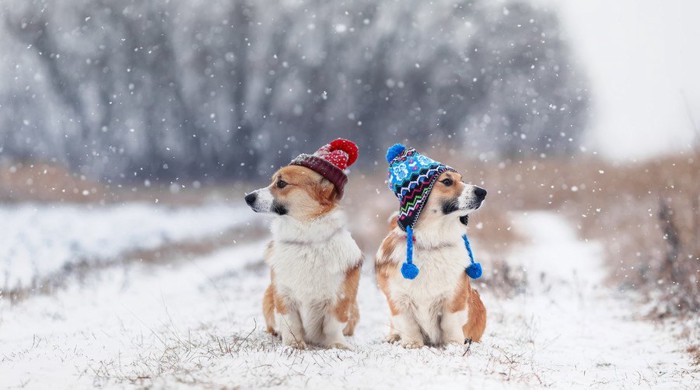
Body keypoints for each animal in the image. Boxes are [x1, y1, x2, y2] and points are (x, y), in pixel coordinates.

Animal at [246, 139, 364, 348]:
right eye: (272, 181)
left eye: (281, 183)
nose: (247, 197)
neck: (305, 239)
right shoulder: (283, 295)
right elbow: (290, 323)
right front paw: (293, 345)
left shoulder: (340, 299)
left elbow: (333, 326)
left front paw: (338, 345)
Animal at [378, 145, 486, 348]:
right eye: (447, 181)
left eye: (462, 180)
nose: (483, 192)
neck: (431, 240)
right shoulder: (398, 299)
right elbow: (407, 323)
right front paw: (412, 344)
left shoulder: (454, 297)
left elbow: (449, 323)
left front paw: (453, 345)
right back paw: (392, 336)